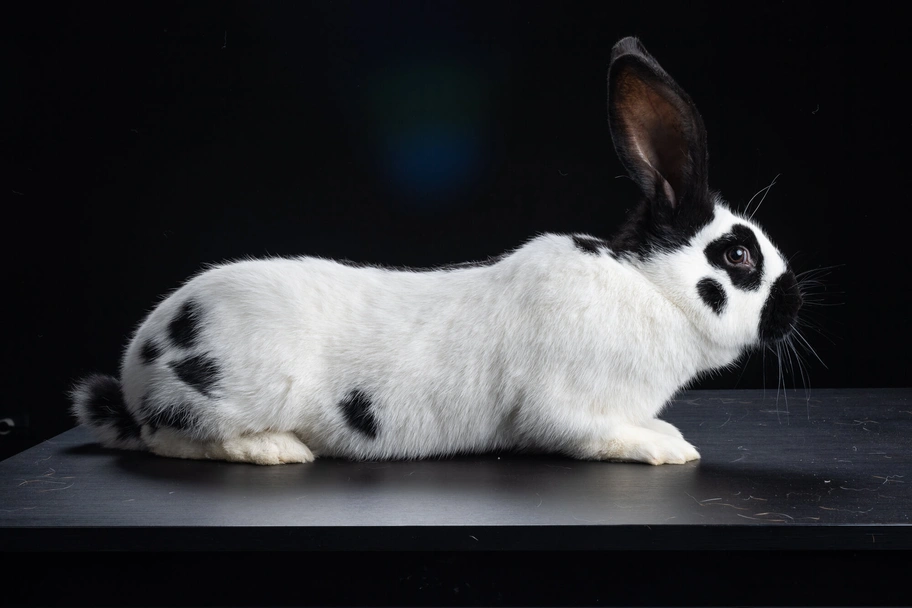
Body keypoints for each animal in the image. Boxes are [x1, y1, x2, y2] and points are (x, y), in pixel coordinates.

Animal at [71, 36, 802, 466]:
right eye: (739, 257)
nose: (794, 304)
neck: (652, 290)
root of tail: (139, 364)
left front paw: (670, 435)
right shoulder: (566, 408)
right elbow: (597, 434)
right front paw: (668, 449)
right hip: (234, 391)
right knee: (171, 437)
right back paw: (277, 451)